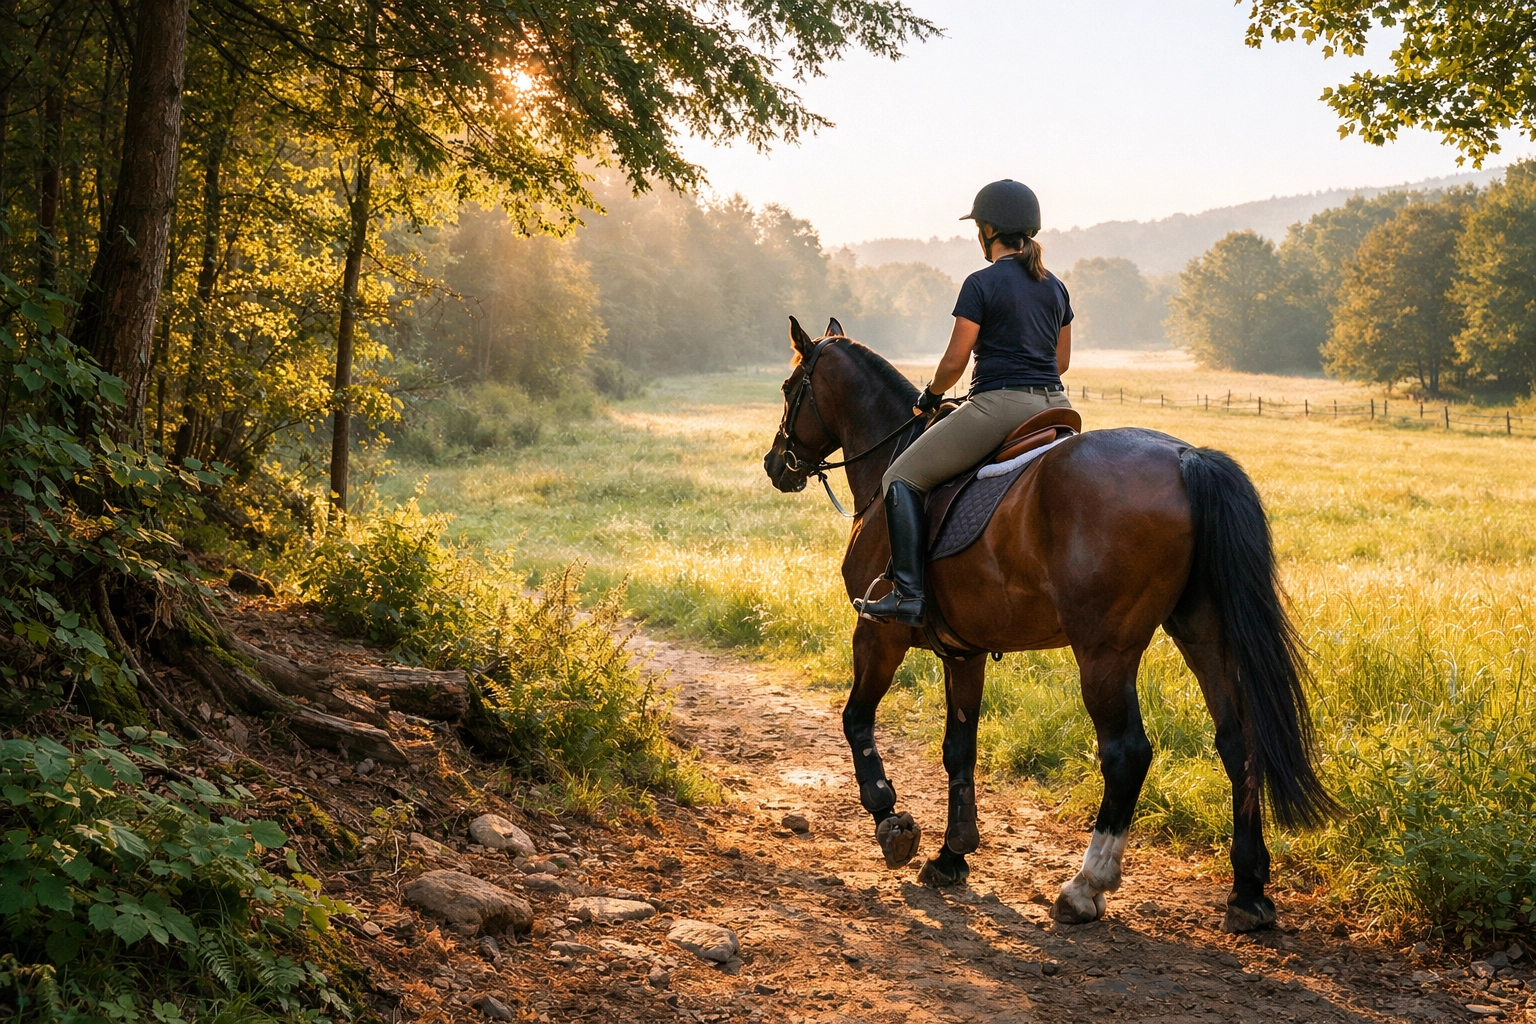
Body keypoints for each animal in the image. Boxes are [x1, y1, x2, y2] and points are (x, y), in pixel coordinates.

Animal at [761, 317, 1334, 932]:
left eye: (790, 387)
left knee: (1127, 754)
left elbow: (856, 721)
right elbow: (959, 747)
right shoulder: (963, 651)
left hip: (1105, 651)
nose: (776, 464)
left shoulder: (878, 633)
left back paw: (1085, 887)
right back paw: (1247, 891)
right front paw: (952, 854)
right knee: (1238, 741)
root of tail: (1185, 456)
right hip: (1204, 633)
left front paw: (890, 821)